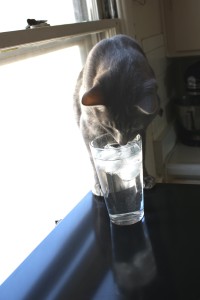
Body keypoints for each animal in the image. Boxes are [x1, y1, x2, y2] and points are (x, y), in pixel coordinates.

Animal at [73, 34, 159, 196]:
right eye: (108, 125)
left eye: (134, 126)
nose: (122, 142)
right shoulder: (87, 128)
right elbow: (92, 159)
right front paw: (99, 185)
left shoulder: (142, 132)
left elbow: (142, 154)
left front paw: (144, 178)